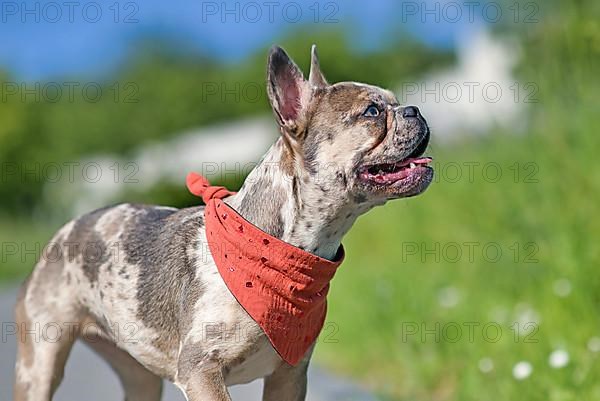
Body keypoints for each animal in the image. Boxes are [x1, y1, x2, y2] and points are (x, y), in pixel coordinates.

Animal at [14, 45, 434, 398]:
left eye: (395, 103)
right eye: (372, 113)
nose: (414, 109)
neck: (283, 250)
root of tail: (62, 233)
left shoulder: (289, 376)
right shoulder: (201, 371)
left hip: (140, 375)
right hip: (40, 365)